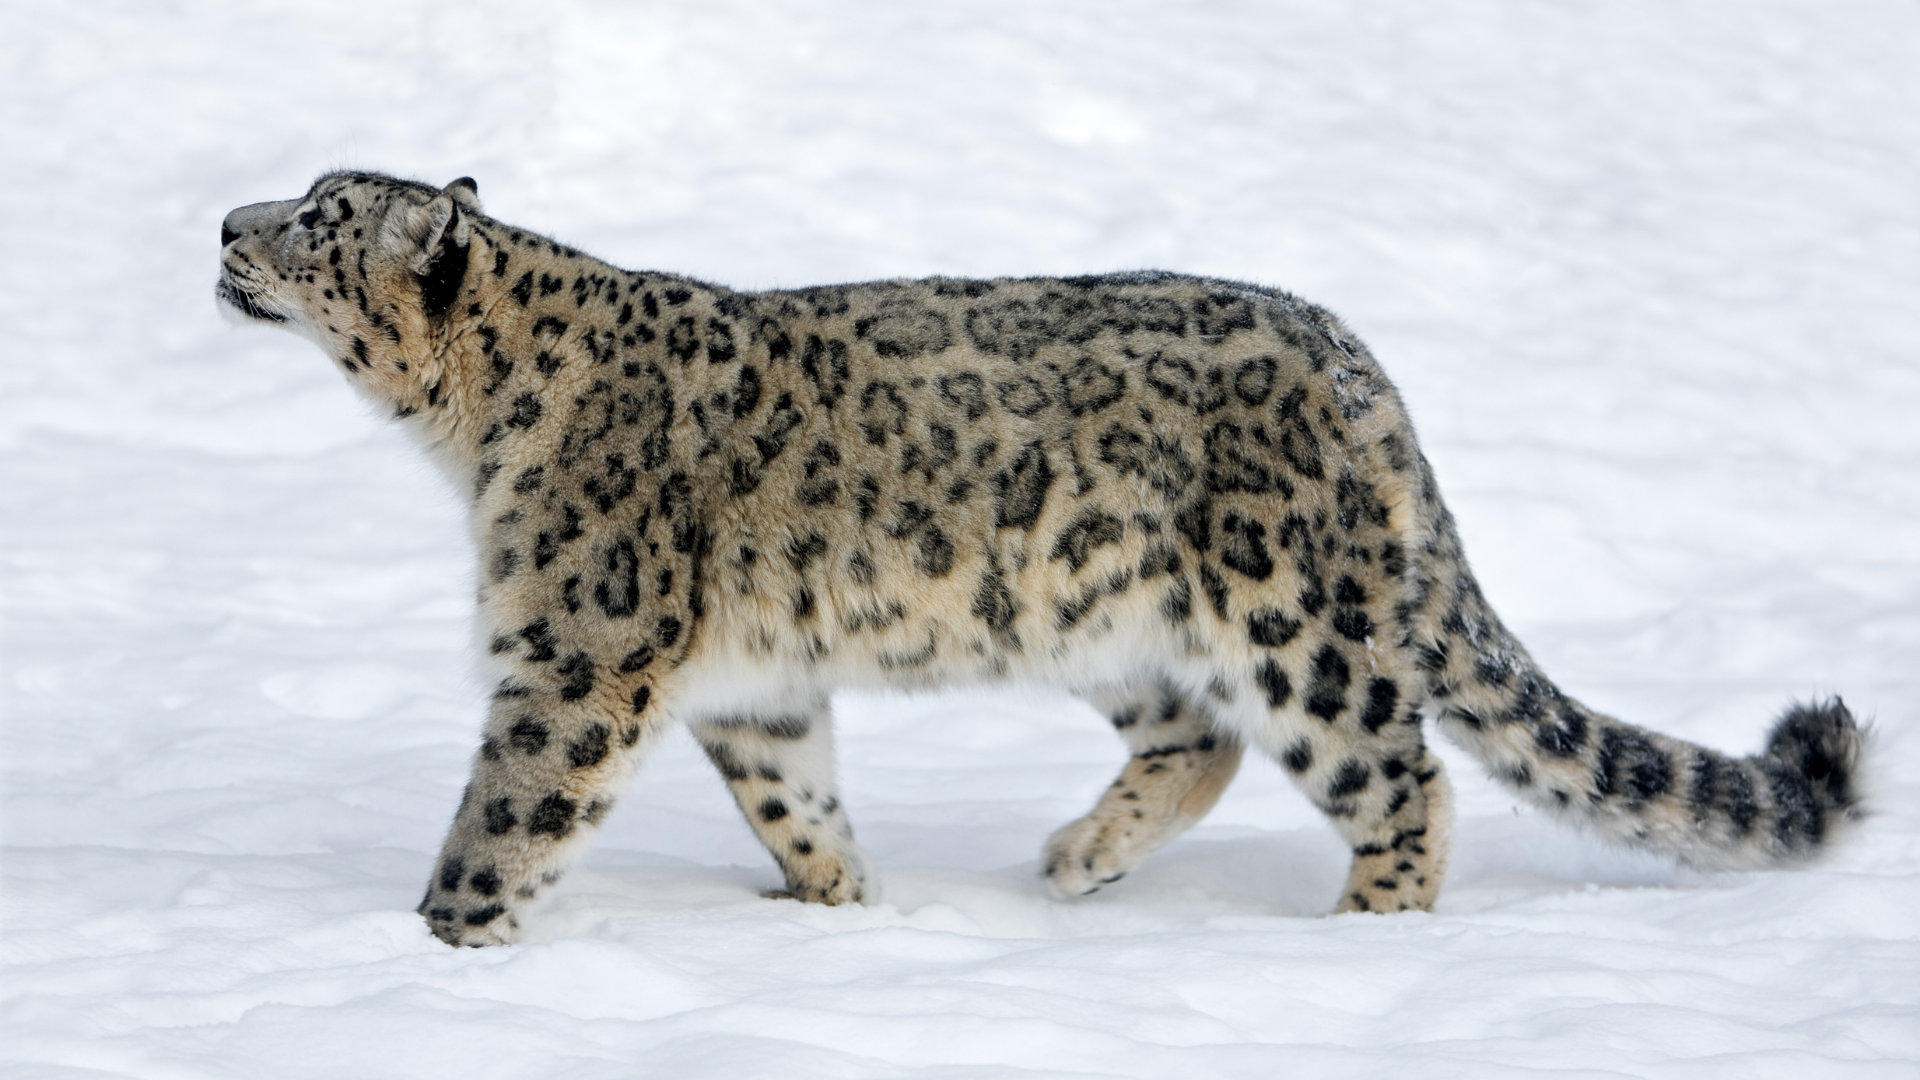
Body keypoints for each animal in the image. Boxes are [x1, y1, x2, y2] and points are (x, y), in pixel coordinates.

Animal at [217, 170, 1866, 941]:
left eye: (318, 218)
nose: (229, 223)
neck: (471, 432)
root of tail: (1357, 362)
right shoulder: (750, 686)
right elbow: (791, 794)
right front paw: (838, 904)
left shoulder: (579, 650)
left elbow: (506, 815)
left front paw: (437, 947)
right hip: (1104, 613)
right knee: (1197, 735)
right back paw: (1079, 860)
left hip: (1294, 616)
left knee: (1400, 773)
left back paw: (1366, 936)